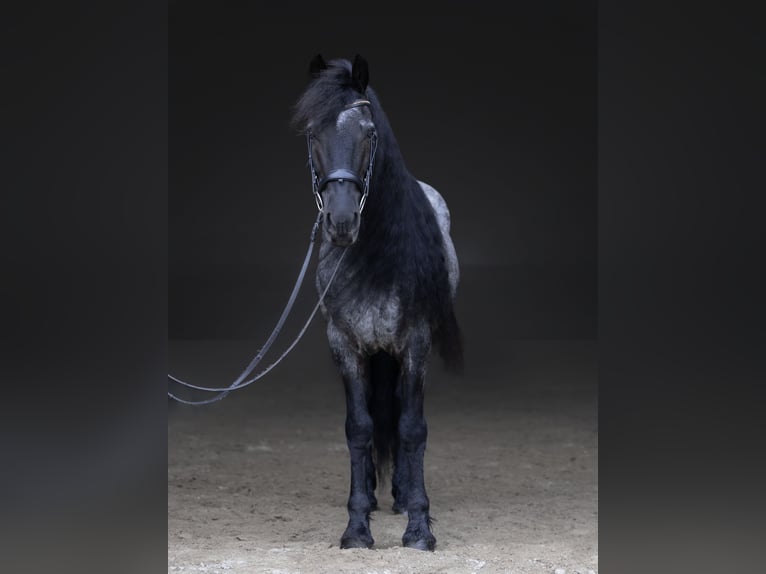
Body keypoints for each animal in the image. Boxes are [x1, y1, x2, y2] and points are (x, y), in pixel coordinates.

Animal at [291, 54, 463, 551]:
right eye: (313, 133)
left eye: (369, 132)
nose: (341, 221)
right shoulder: (344, 344)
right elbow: (359, 427)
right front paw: (356, 527)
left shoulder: (416, 345)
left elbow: (411, 427)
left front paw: (419, 528)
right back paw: (369, 494)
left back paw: (402, 496)